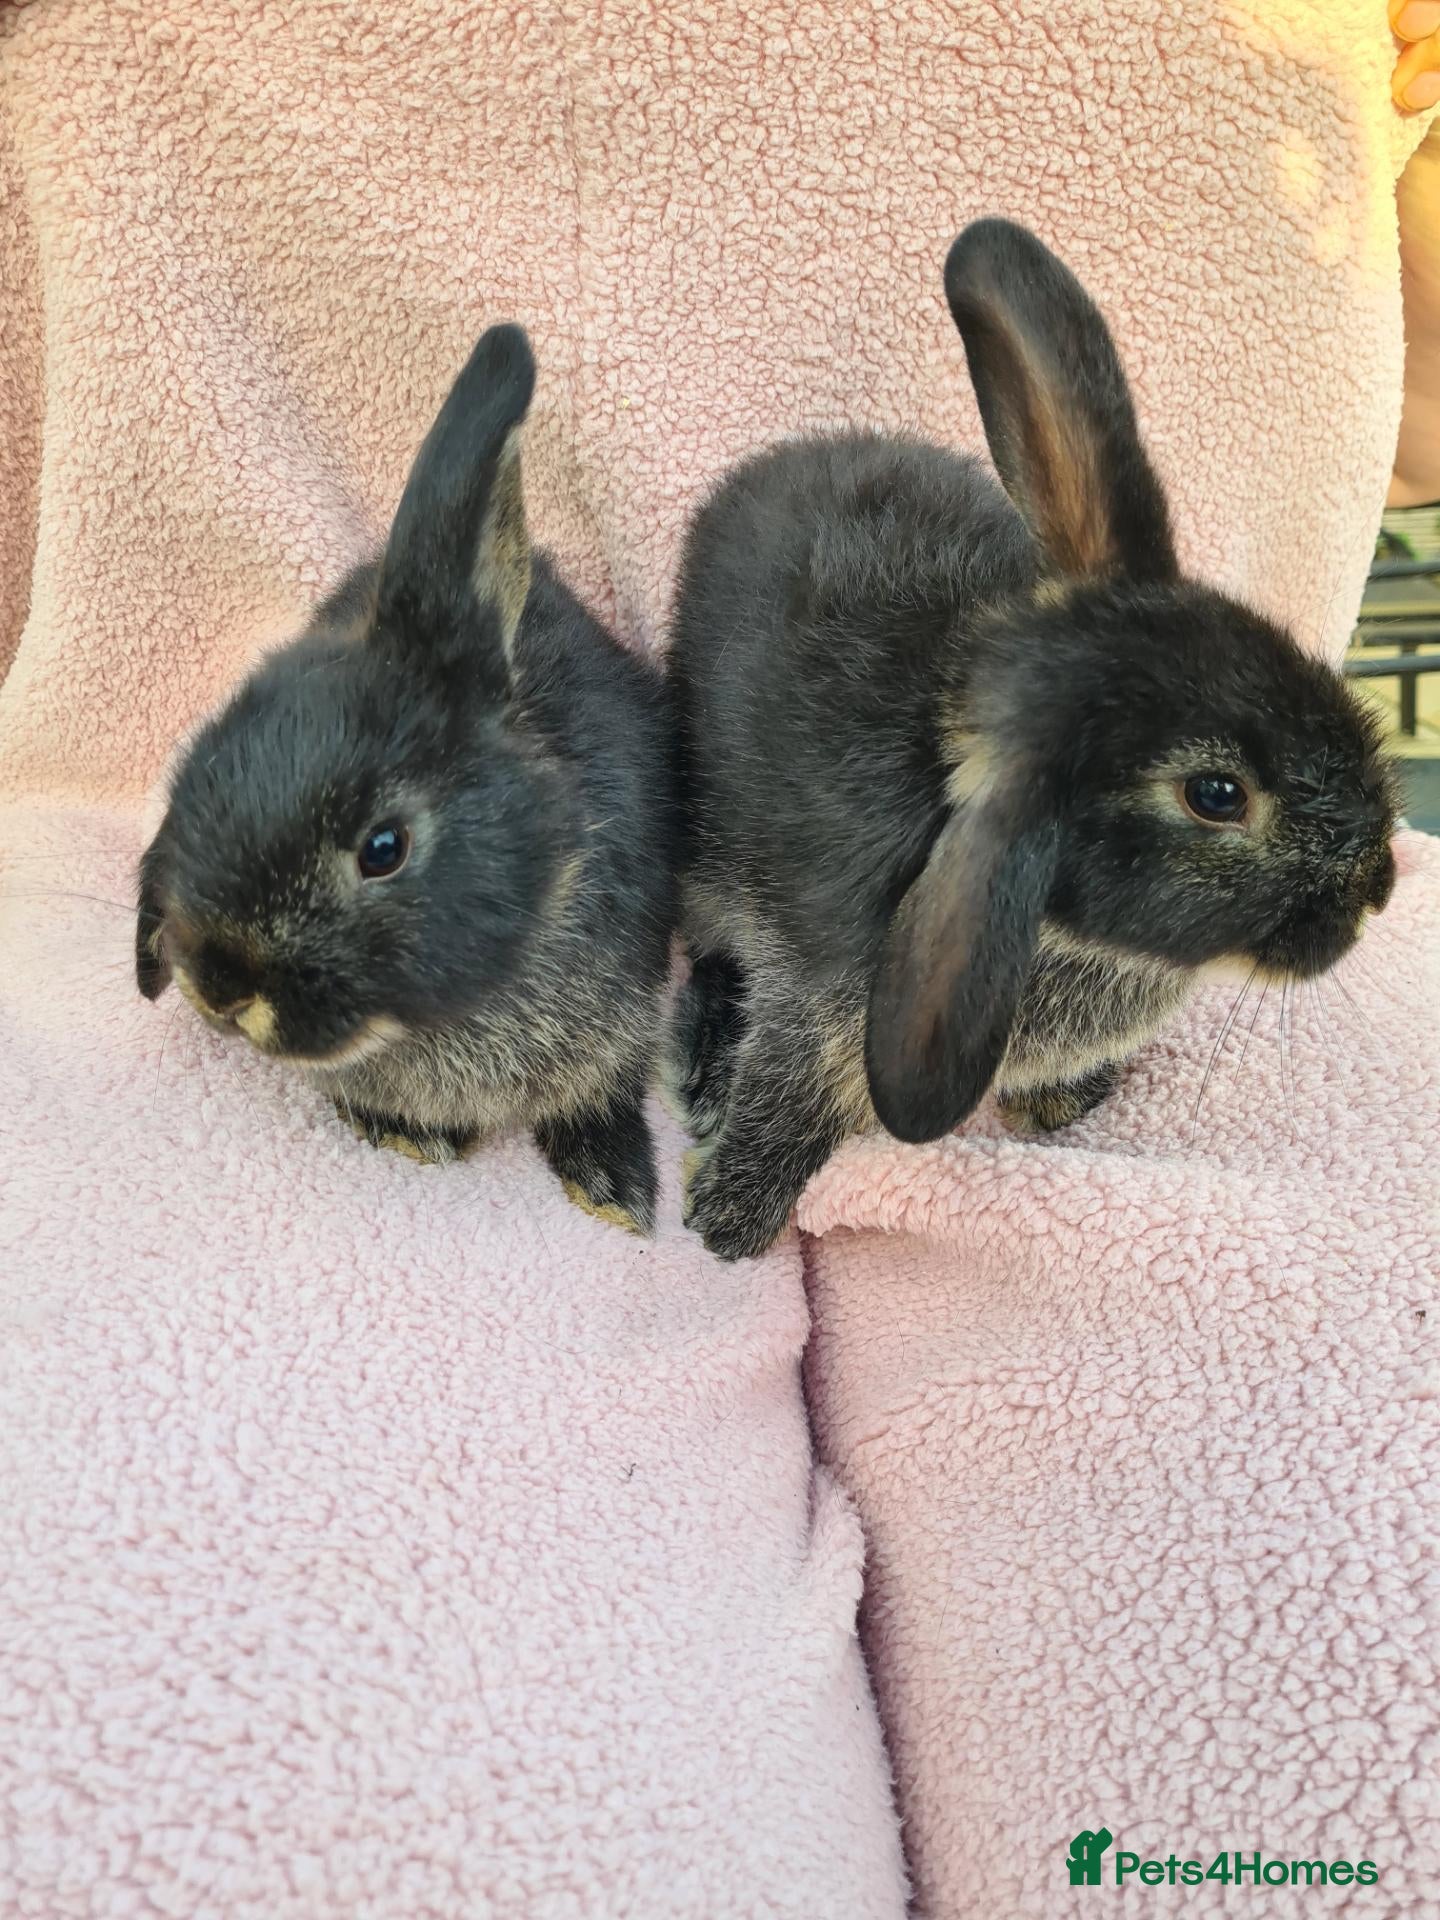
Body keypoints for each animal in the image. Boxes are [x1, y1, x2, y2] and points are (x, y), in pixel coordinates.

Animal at [136, 323, 678, 1235]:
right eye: (202, 764)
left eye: (383, 848)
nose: (217, 986)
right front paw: (406, 1134)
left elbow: (605, 1088)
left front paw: (613, 1189)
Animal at [667, 219, 1399, 1261]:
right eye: (1217, 795)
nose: (1379, 885)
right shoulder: (815, 1003)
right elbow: (789, 1094)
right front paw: (731, 1219)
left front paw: (1065, 1102)